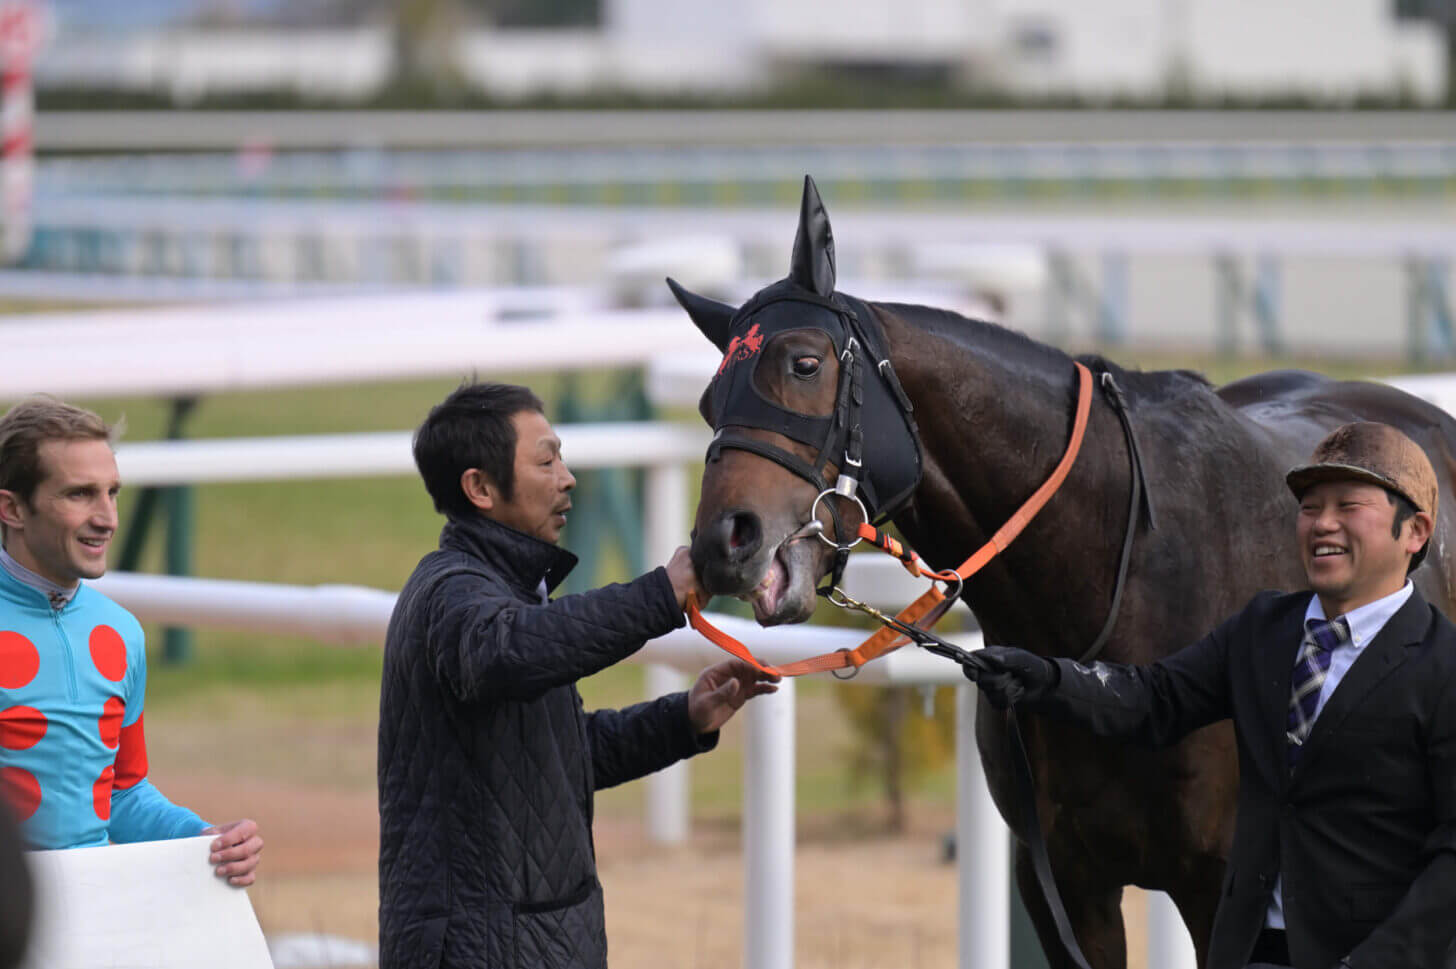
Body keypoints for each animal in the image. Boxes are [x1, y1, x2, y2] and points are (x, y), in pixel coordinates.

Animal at [666, 175, 1456, 966]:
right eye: (708, 400)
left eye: (804, 363)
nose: (723, 544)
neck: (1121, 590)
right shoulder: (1065, 884)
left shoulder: (1223, 886)